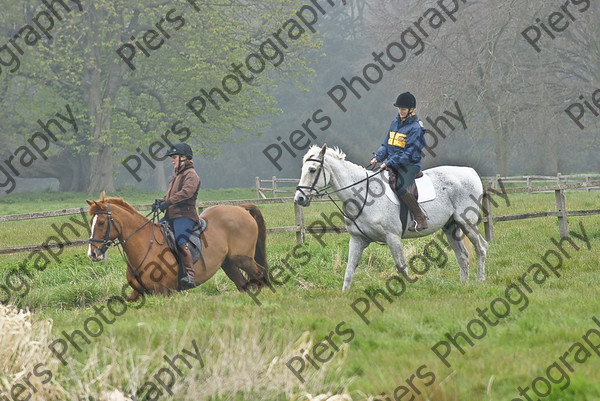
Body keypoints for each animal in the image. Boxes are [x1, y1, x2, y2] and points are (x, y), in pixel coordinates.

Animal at [87, 194, 270, 300]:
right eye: (91, 222)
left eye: (101, 222)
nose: (92, 254)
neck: (145, 245)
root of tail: (240, 208)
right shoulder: (138, 292)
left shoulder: (164, 292)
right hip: (228, 263)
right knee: (242, 284)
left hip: (242, 258)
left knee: (259, 273)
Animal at [294, 145, 488, 290]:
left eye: (312, 170)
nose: (299, 198)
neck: (363, 194)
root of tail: (471, 172)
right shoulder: (357, 239)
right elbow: (349, 269)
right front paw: (344, 293)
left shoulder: (392, 236)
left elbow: (401, 266)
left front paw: (408, 289)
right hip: (451, 226)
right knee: (462, 255)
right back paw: (464, 284)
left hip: (467, 222)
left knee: (481, 247)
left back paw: (480, 280)